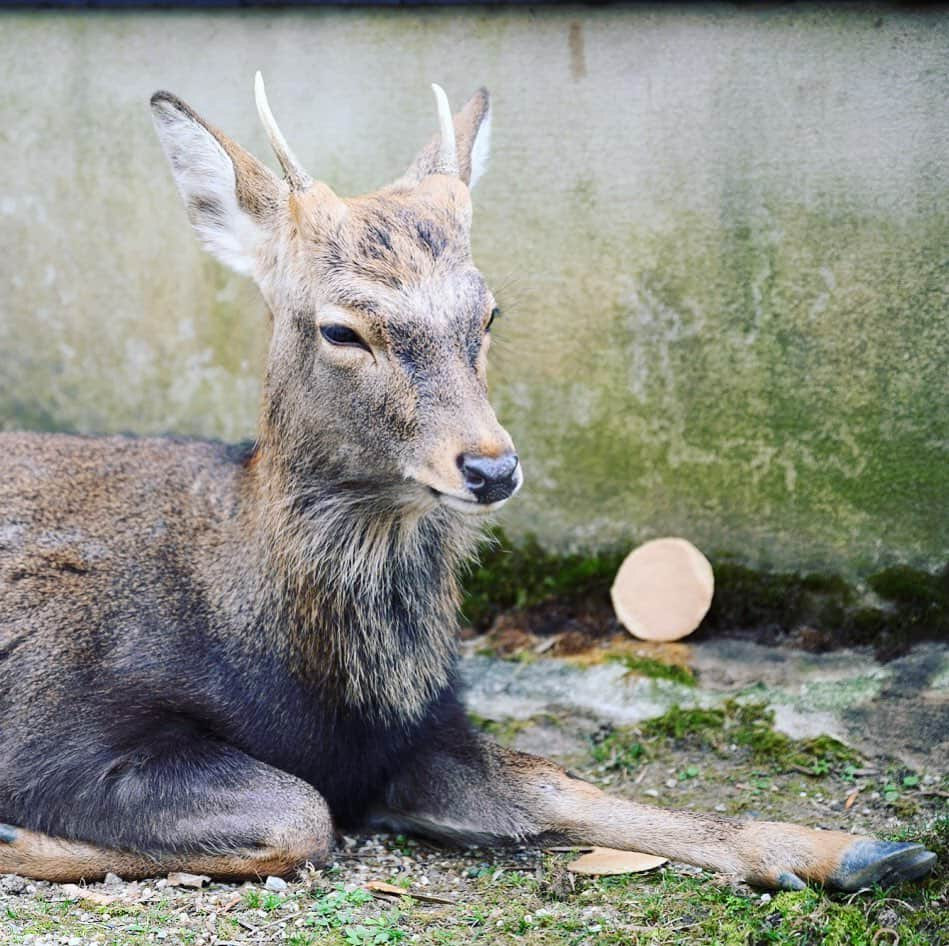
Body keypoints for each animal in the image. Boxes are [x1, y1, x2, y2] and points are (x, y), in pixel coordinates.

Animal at [0, 75, 932, 892]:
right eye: (342, 329)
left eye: (487, 313)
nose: (489, 465)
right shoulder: (55, 724)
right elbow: (301, 813)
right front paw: (17, 835)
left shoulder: (420, 733)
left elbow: (556, 781)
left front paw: (853, 849)